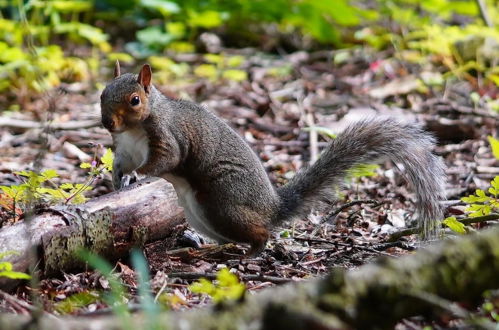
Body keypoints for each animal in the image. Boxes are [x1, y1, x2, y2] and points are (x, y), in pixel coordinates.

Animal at [99, 60, 448, 254]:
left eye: (134, 100)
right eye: (102, 94)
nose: (108, 123)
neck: (134, 129)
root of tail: (273, 206)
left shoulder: (168, 137)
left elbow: (165, 161)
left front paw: (141, 177)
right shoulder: (125, 147)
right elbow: (121, 164)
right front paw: (118, 180)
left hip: (222, 203)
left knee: (261, 233)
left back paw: (251, 252)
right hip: (202, 213)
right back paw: (206, 247)